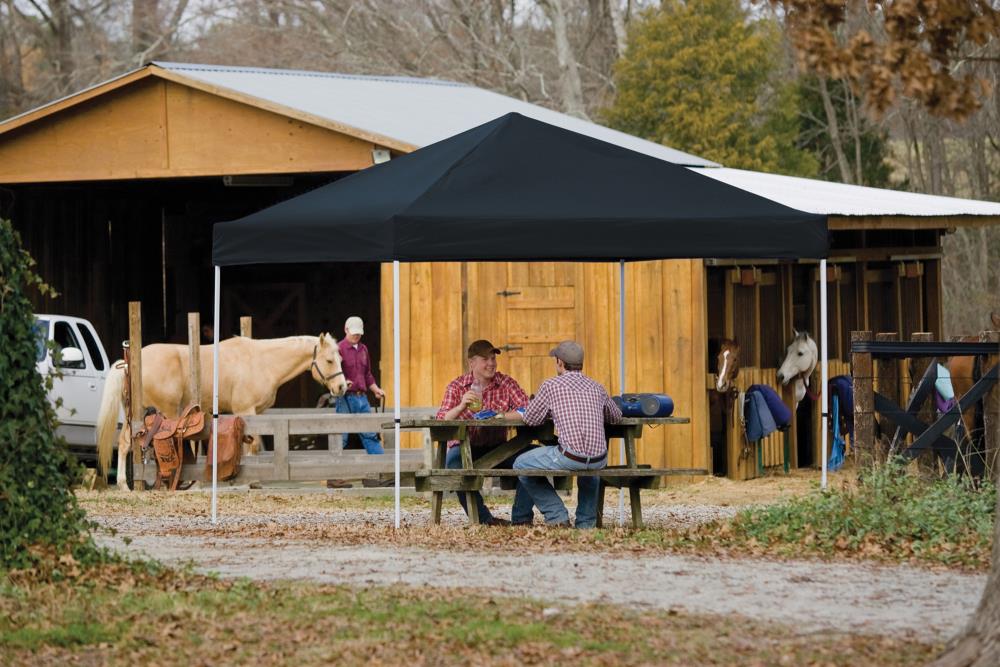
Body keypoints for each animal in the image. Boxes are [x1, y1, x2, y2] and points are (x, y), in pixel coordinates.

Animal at [96, 334, 348, 490]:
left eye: (340, 359)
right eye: (329, 360)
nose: (342, 387)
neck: (262, 362)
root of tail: (129, 364)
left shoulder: (256, 414)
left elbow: (251, 447)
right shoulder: (247, 411)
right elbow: (252, 447)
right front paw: (251, 481)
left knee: (125, 443)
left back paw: (125, 485)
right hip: (163, 412)